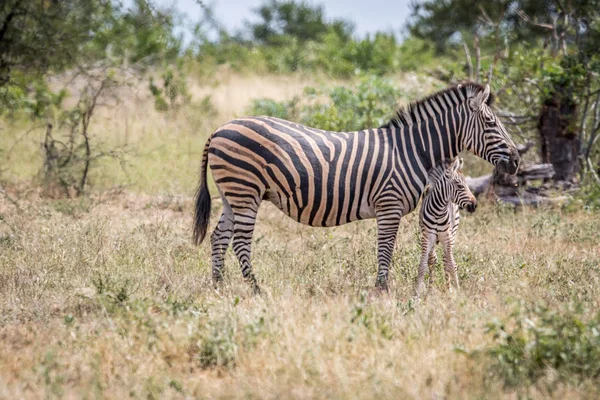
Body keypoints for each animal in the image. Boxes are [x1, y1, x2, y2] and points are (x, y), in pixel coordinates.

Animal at [414, 157, 476, 296]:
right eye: (460, 185)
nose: (474, 205)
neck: (438, 211)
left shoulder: (447, 237)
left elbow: (452, 264)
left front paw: (457, 291)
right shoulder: (427, 237)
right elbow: (422, 265)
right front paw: (417, 293)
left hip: (452, 233)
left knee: (446, 259)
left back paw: (448, 288)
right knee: (433, 259)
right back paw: (431, 290)